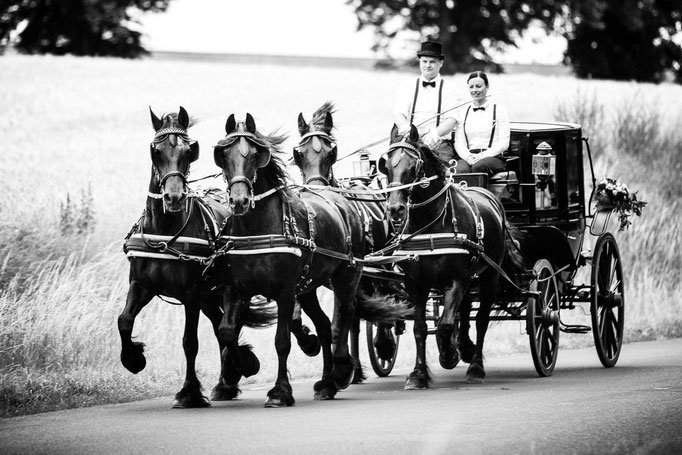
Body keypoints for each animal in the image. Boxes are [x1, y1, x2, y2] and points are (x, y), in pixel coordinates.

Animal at [119, 108, 270, 410]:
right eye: (156, 150)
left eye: (189, 151)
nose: (174, 197)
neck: (165, 232)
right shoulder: (141, 285)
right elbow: (124, 320)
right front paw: (133, 359)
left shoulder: (190, 293)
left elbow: (190, 342)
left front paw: (189, 393)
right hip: (209, 295)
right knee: (221, 325)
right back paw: (228, 380)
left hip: (217, 291)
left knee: (228, 326)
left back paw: (236, 370)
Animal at [212, 113, 364, 406]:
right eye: (223, 154)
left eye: (255, 155)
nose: (239, 201)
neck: (257, 228)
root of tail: (338, 197)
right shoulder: (237, 288)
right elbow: (226, 331)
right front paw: (243, 366)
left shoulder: (284, 291)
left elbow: (281, 341)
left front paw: (280, 391)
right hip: (307, 286)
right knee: (325, 325)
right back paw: (326, 384)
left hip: (347, 274)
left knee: (346, 312)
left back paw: (341, 370)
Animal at [292, 101, 404, 382]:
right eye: (299, 153)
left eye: (331, 151)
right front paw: (309, 342)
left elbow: (341, 317)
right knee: (353, 314)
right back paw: (356, 367)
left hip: (378, 266)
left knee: (373, 298)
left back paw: (383, 344)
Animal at [380, 124, 508, 388]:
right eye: (386, 166)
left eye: (414, 166)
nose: (395, 209)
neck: (431, 222)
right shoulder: (416, 284)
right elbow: (420, 328)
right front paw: (418, 374)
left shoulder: (455, 279)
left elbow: (446, 323)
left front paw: (448, 355)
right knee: (465, 311)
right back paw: (465, 348)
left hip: (490, 276)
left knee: (481, 320)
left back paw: (475, 367)